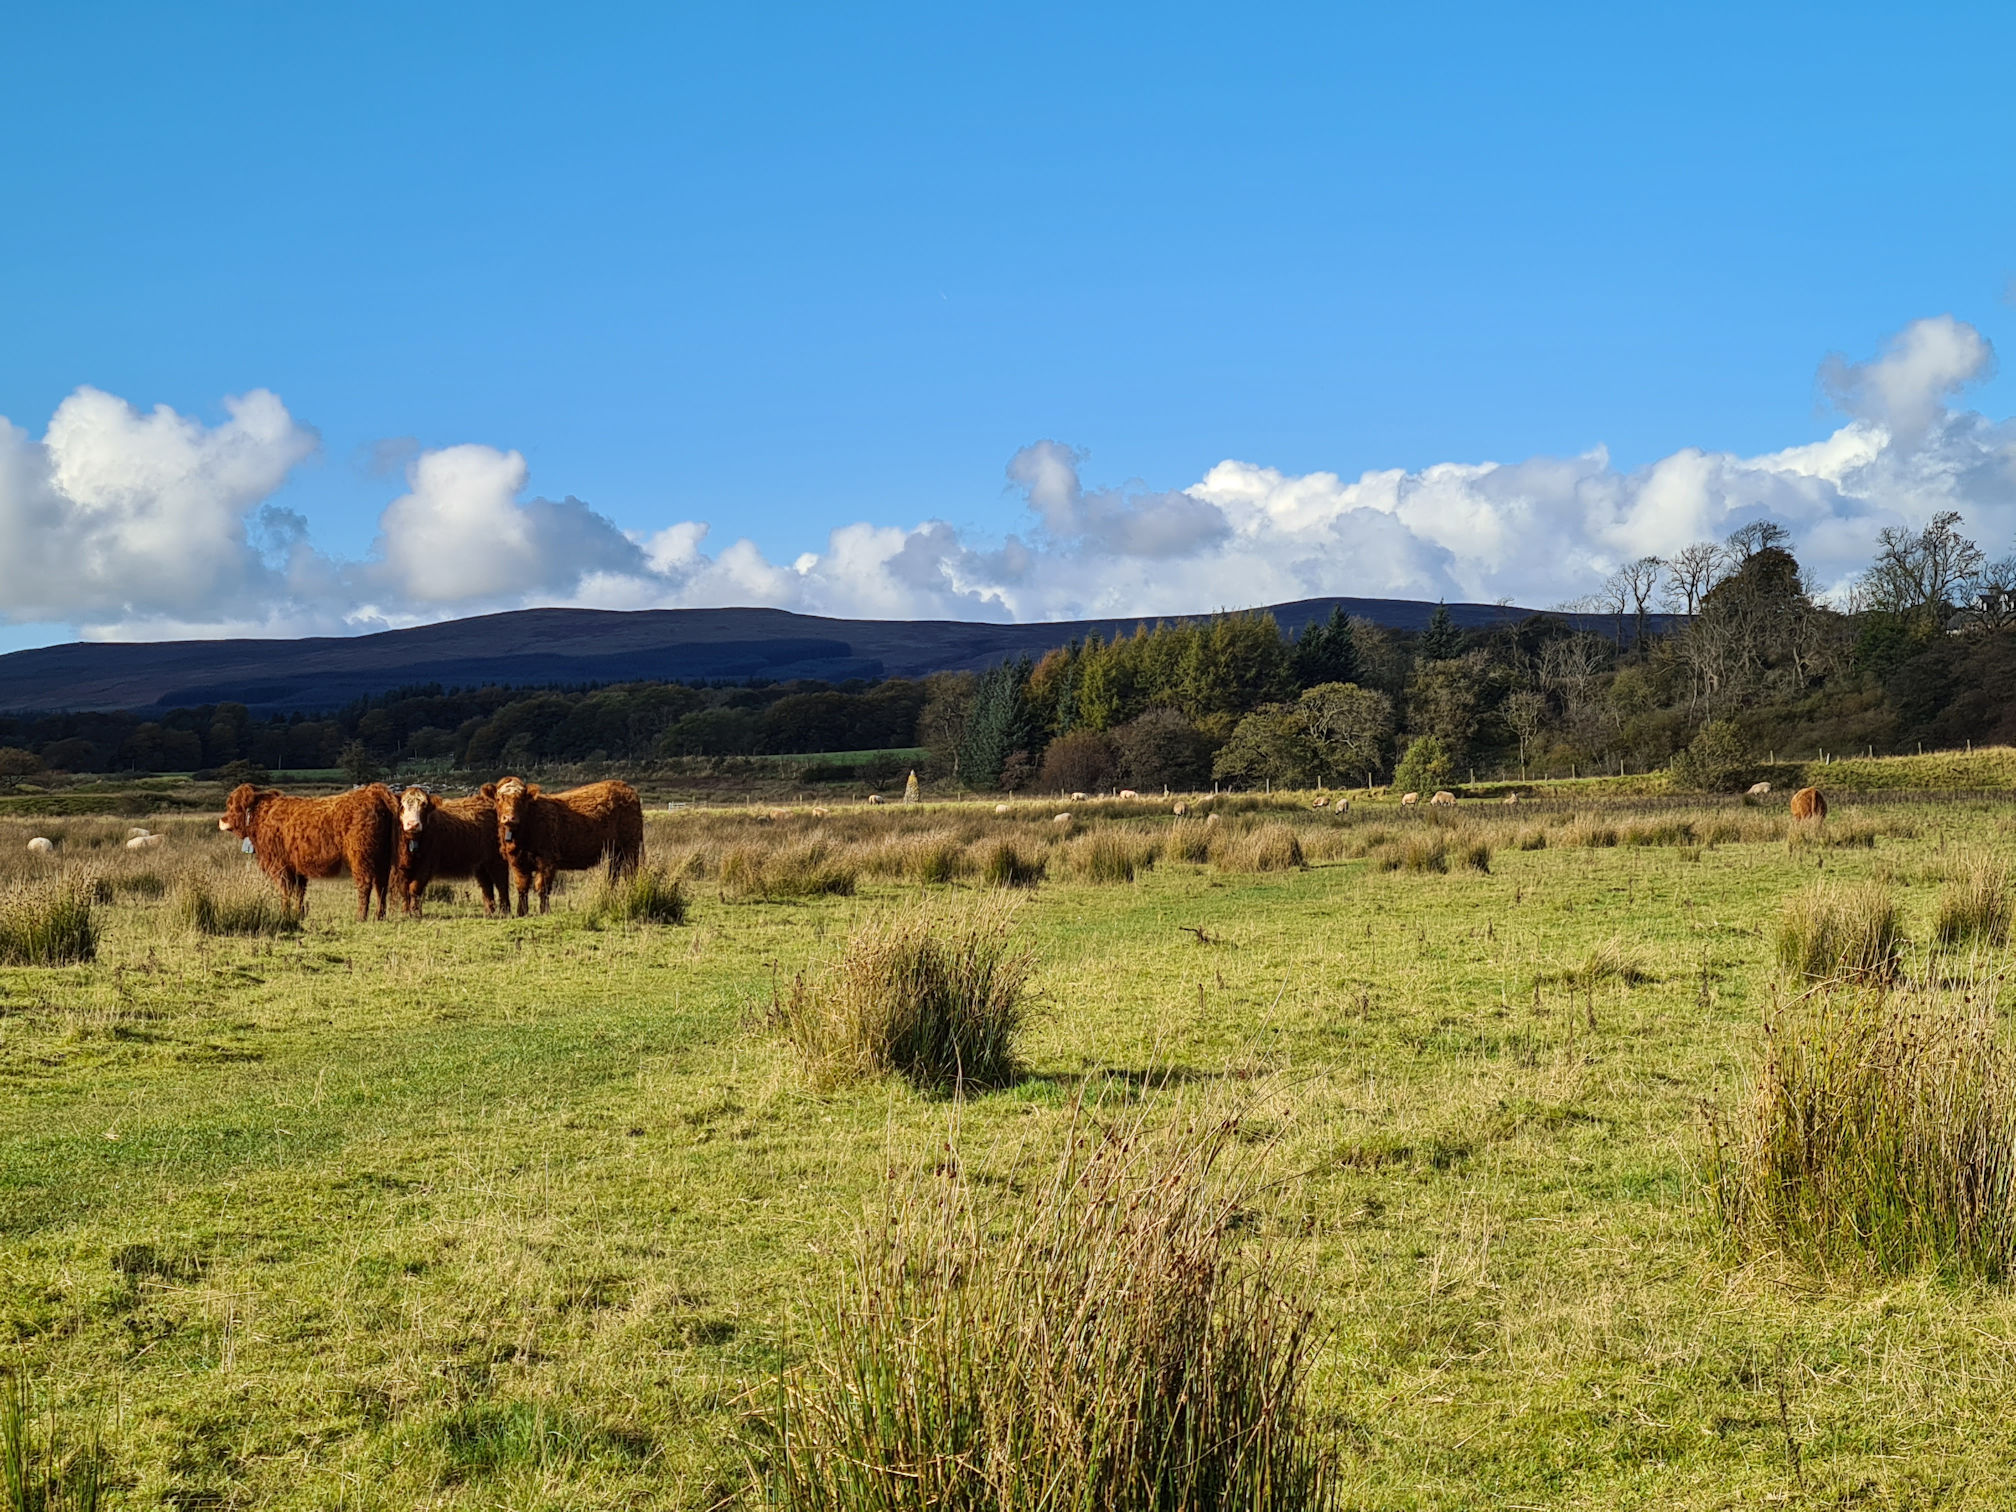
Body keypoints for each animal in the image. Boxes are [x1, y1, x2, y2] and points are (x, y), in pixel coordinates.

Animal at [218, 782, 397, 920]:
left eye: (233, 805)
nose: (222, 819)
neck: (261, 817)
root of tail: (370, 791)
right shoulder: (296, 868)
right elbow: (299, 892)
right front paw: (298, 914)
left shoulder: (280, 866)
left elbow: (285, 891)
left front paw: (284, 914)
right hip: (382, 858)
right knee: (381, 885)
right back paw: (379, 916)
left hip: (361, 857)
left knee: (365, 884)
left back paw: (361, 916)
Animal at [391, 788, 509, 918]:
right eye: (402, 806)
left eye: (424, 805)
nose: (413, 824)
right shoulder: (400, 868)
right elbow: (404, 890)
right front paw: (405, 913)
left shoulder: (426, 865)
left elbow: (414, 888)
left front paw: (416, 913)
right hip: (481, 865)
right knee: (487, 886)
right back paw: (489, 913)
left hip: (497, 859)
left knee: (502, 884)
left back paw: (504, 912)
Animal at [482, 776, 644, 916]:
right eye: (499, 798)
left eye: (521, 799)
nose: (510, 818)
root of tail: (627, 788)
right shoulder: (517, 862)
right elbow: (522, 886)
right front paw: (521, 912)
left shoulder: (547, 859)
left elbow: (543, 887)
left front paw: (545, 911)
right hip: (614, 852)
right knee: (613, 876)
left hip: (631, 847)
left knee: (630, 874)